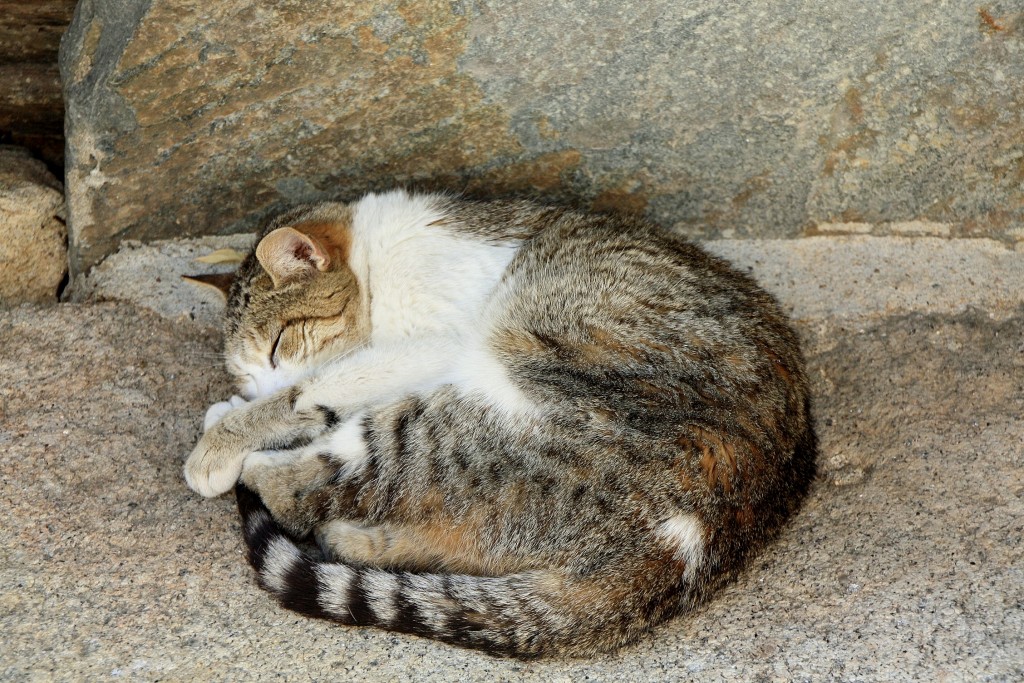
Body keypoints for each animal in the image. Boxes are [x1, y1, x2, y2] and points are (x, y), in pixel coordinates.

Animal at [184, 189, 819, 659]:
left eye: (277, 346)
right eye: (245, 372)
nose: (248, 391)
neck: (379, 258)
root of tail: (696, 540)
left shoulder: (433, 341)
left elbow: (309, 392)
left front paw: (224, 436)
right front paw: (234, 411)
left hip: (477, 410)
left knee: (304, 487)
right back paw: (356, 538)